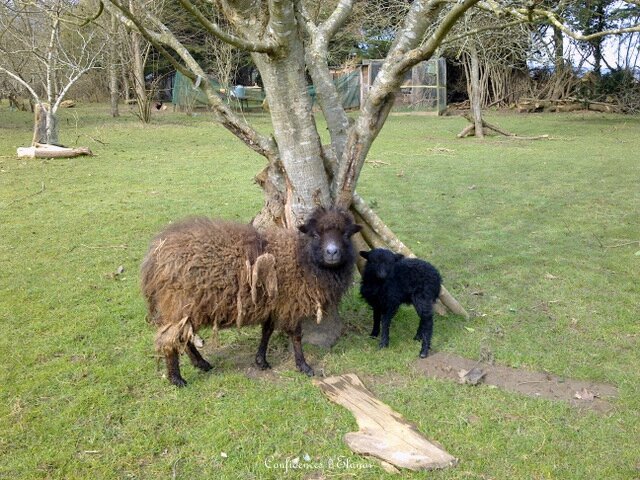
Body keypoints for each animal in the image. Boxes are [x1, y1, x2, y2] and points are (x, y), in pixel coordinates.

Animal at [140, 206, 360, 386]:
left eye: (346, 234)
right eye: (315, 234)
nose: (332, 253)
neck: (301, 258)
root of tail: (153, 257)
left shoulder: (274, 304)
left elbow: (267, 331)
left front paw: (261, 360)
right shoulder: (291, 303)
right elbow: (296, 336)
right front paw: (303, 366)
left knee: (183, 337)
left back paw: (201, 364)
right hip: (179, 303)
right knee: (170, 338)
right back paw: (177, 379)